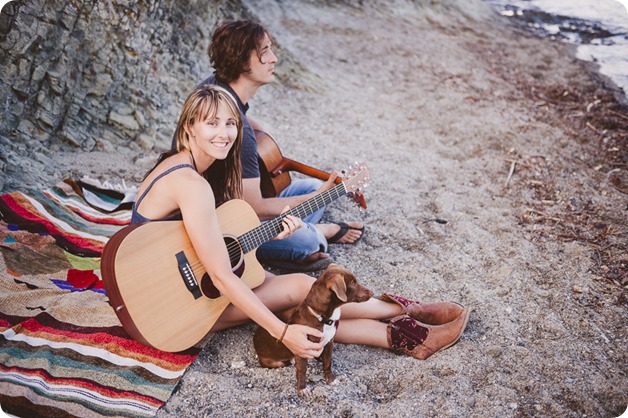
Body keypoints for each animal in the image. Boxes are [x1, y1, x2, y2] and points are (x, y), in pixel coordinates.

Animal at [254, 264, 372, 396]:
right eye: (353, 283)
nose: (372, 292)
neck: (322, 318)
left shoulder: (329, 343)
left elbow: (328, 362)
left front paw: (330, 379)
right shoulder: (301, 347)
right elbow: (302, 370)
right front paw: (302, 388)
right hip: (274, 362)